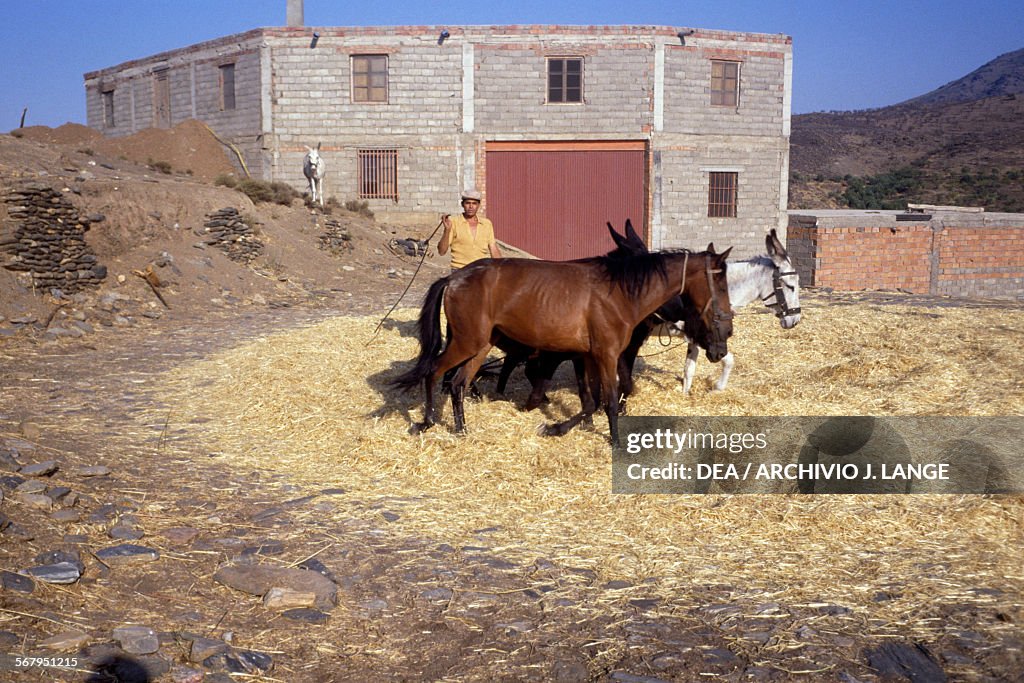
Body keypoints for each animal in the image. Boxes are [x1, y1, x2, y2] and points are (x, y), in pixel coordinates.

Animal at [387, 227, 733, 446]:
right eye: (721, 283)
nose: (727, 328)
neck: (619, 292)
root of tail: (454, 278)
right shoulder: (606, 355)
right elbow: (608, 399)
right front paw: (615, 440)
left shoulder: (590, 356)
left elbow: (591, 401)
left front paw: (558, 427)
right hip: (466, 343)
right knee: (435, 372)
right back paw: (427, 421)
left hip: (481, 345)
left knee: (458, 382)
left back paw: (461, 429)